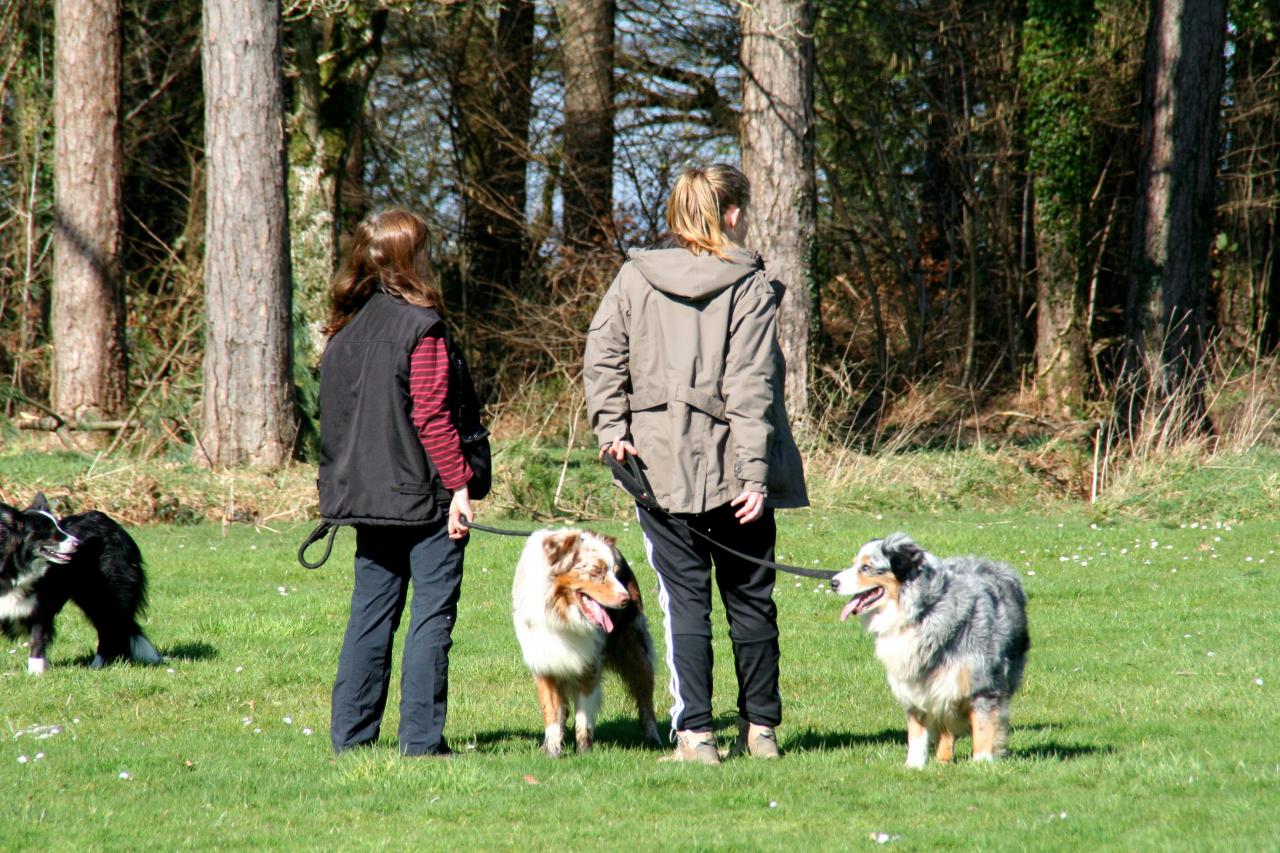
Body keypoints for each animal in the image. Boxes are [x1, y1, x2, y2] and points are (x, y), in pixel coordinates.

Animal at [0, 492, 161, 673]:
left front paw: (36, 674)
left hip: (102, 596)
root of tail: (114, 525)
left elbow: (37, 642)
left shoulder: (41, 609)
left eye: (59, 528)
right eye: (49, 531)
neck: (14, 566)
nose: (78, 544)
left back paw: (97, 666)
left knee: (109, 629)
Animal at [512, 528, 662, 756]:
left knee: (645, 697)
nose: (626, 600)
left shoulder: (589, 664)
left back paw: (653, 738)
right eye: (596, 572)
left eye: (615, 573)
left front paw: (583, 753)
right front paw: (553, 751)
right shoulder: (545, 661)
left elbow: (583, 718)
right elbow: (552, 714)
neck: (562, 615)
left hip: (634, 649)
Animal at [831, 533, 1029, 768]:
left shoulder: (983, 685)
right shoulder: (914, 684)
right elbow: (916, 733)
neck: (922, 612)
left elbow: (983, 729)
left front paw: (981, 765)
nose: (832, 582)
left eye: (866, 567)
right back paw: (942, 760)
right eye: (855, 564)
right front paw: (913, 766)